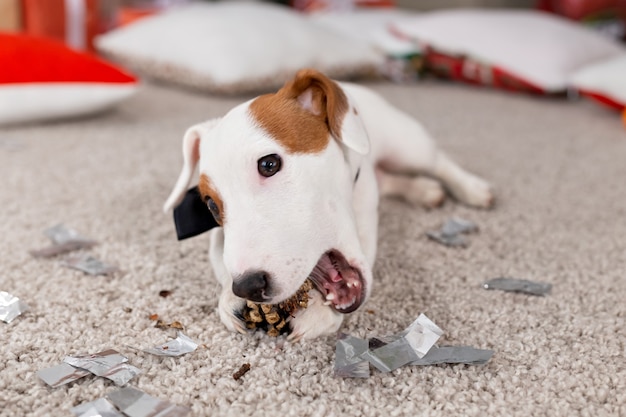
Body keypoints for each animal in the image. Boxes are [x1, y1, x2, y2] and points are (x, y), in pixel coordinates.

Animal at [162, 68, 492, 340]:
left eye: (269, 164)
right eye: (210, 205)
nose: (247, 286)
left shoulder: (363, 214)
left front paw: (320, 311)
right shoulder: (218, 236)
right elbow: (219, 258)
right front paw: (229, 299)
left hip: (408, 146)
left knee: (439, 161)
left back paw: (472, 188)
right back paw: (423, 190)